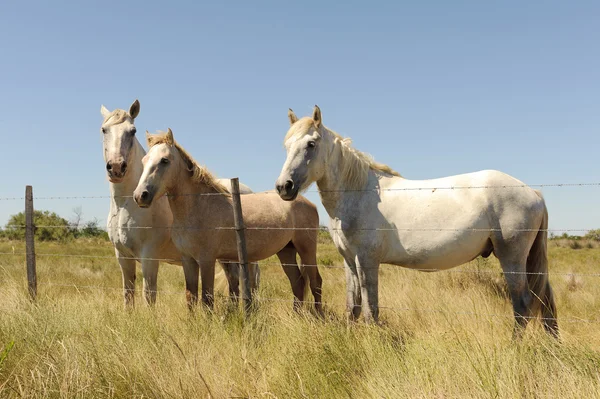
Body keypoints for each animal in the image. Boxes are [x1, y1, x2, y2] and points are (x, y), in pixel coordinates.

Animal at [99, 100, 258, 306]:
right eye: (104, 130)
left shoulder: (149, 257)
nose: (117, 167)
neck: (125, 206)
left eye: (132, 131)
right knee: (234, 282)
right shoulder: (123, 257)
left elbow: (149, 295)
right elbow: (128, 296)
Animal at [276, 105, 556, 338]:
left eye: (311, 144)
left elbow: (370, 311)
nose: (283, 187)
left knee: (523, 304)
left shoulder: (367, 261)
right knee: (545, 301)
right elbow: (352, 307)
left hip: (512, 257)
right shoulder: (349, 261)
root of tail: (533, 193)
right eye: (286, 146)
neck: (358, 193)